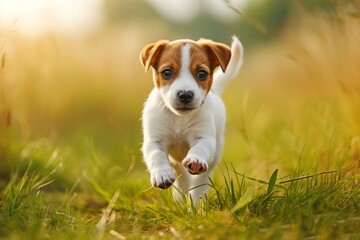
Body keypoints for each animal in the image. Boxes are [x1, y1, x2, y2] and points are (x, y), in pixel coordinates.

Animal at [139, 36, 243, 205]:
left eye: (201, 74)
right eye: (167, 72)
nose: (185, 94)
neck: (179, 119)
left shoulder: (204, 137)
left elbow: (199, 148)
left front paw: (196, 160)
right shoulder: (154, 141)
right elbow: (156, 155)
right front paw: (162, 174)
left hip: (214, 156)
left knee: (200, 181)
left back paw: (195, 202)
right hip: (177, 164)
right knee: (182, 178)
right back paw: (180, 199)